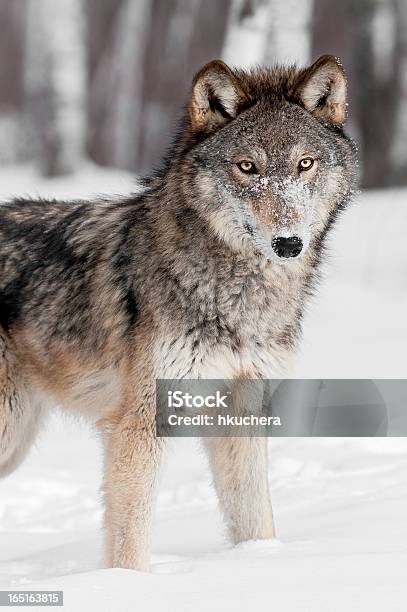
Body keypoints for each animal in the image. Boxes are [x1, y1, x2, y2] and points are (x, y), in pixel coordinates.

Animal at [0, 55, 356, 572]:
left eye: (304, 164)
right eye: (247, 167)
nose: (288, 243)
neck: (238, 296)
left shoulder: (241, 409)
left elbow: (257, 520)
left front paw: (262, 563)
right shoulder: (139, 424)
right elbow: (130, 541)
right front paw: (125, 585)